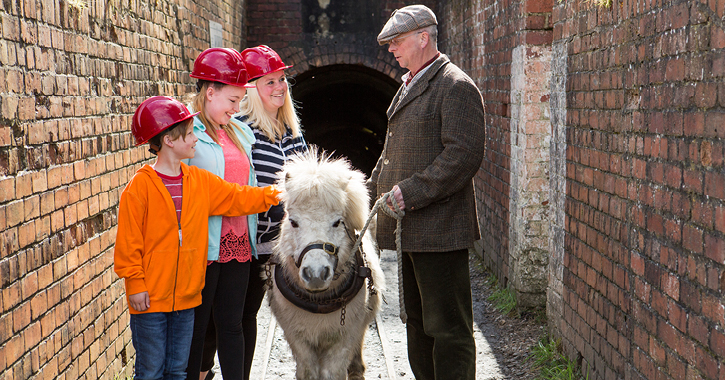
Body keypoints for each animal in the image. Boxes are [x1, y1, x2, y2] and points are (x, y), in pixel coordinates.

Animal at [268, 149, 384, 380]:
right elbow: (308, 371)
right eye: (293, 222)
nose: (315, 274)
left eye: (337, 222)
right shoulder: (297, 338)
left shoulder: (345, 336)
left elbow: (333, 372)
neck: (319, 302)